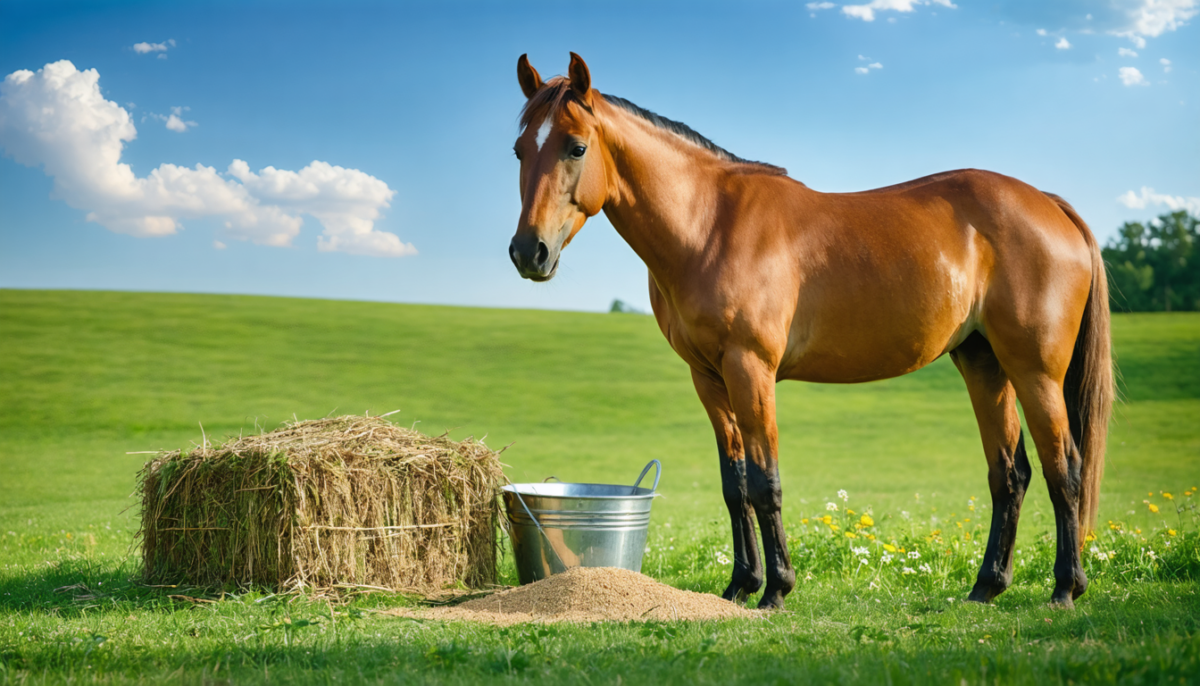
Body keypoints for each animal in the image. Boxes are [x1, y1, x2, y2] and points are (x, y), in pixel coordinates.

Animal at [507, 53, 1113, 610]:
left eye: (576, 147)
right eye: (519, 150)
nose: (528, 251)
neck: (709, 226)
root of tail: (1049, 204)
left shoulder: (750, 369)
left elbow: (764, 481)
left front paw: (776, 588)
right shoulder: (709, 378)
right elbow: (734, 486)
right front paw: (739, 586)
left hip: (1034, 371)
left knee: (1065, 469)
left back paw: (1065, 588)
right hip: (985, 364)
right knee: (1010, 474)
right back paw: (987, 586)